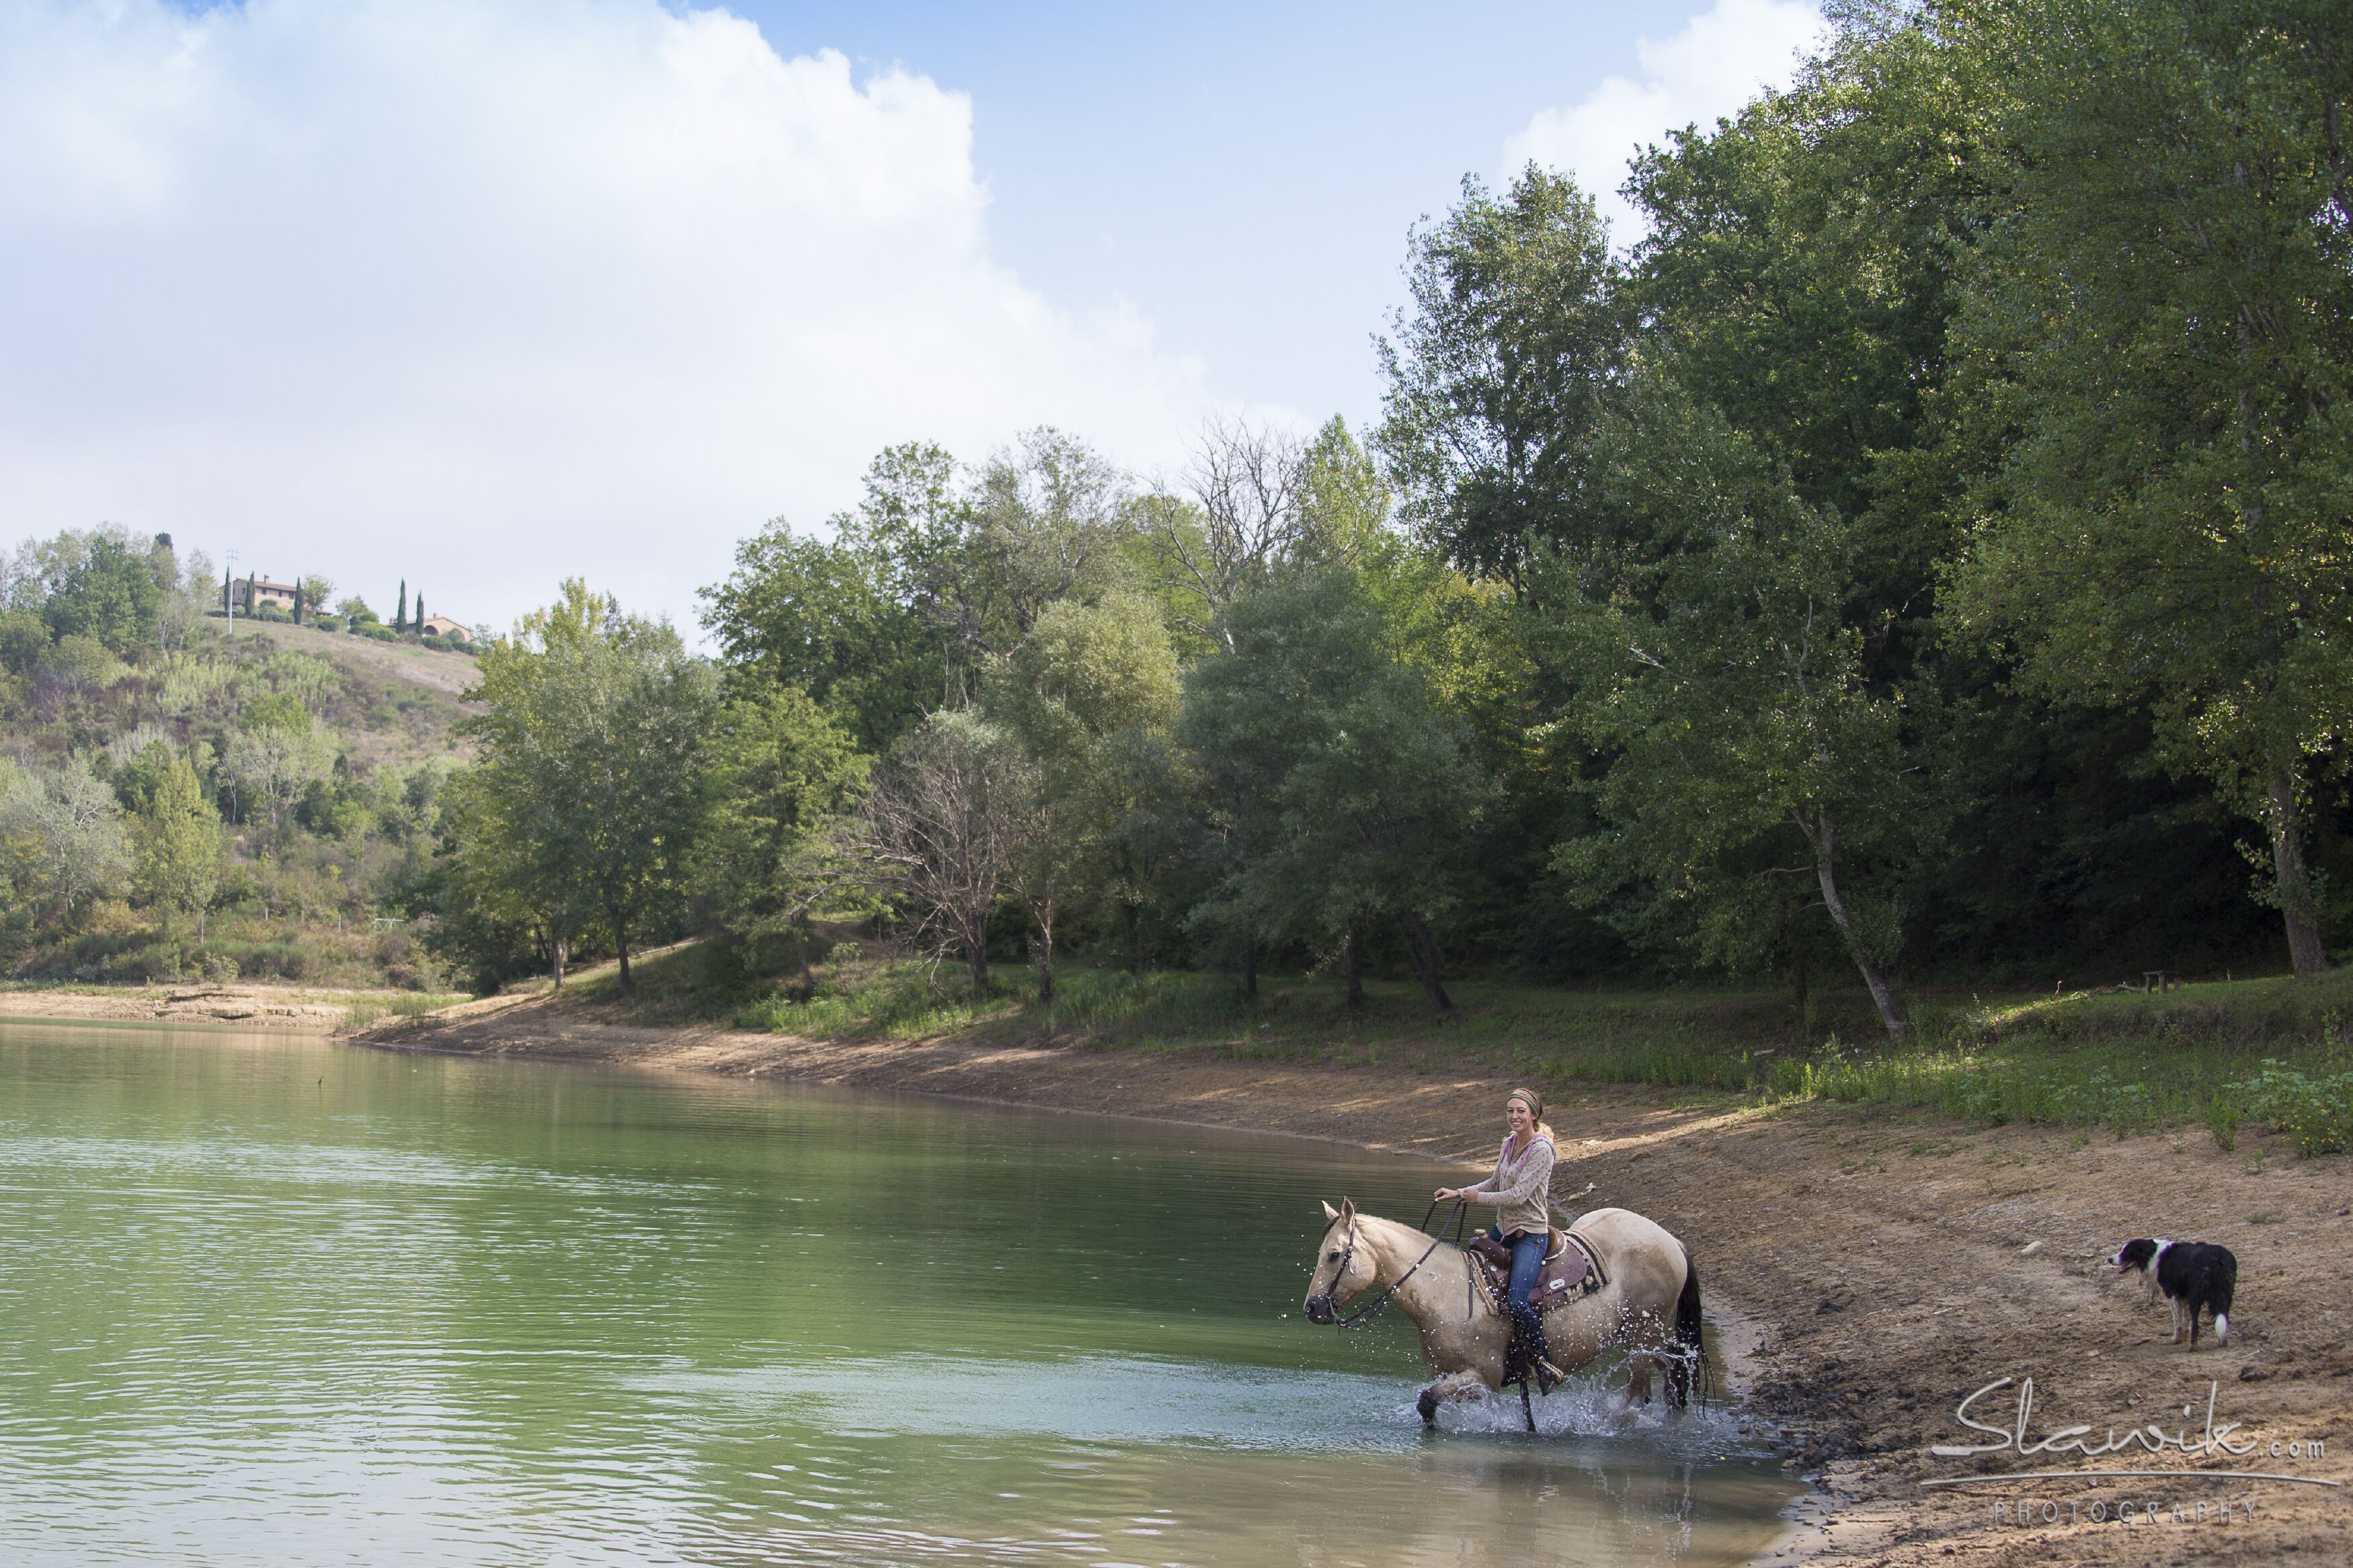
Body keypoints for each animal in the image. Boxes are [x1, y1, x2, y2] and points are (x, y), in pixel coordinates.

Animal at [1301, 1198, 1705, 1430]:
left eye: (1335, 1255)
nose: (1312, 1308)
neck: (1443, 1290)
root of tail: (1670, 1240)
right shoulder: (1448, 1373)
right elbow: (1428, 1407)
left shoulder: (1483, 1377)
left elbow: (1428, 1401)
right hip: (1643, 1339)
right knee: (1675, 1367)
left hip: (1642, 1336)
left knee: (1638, 1395)